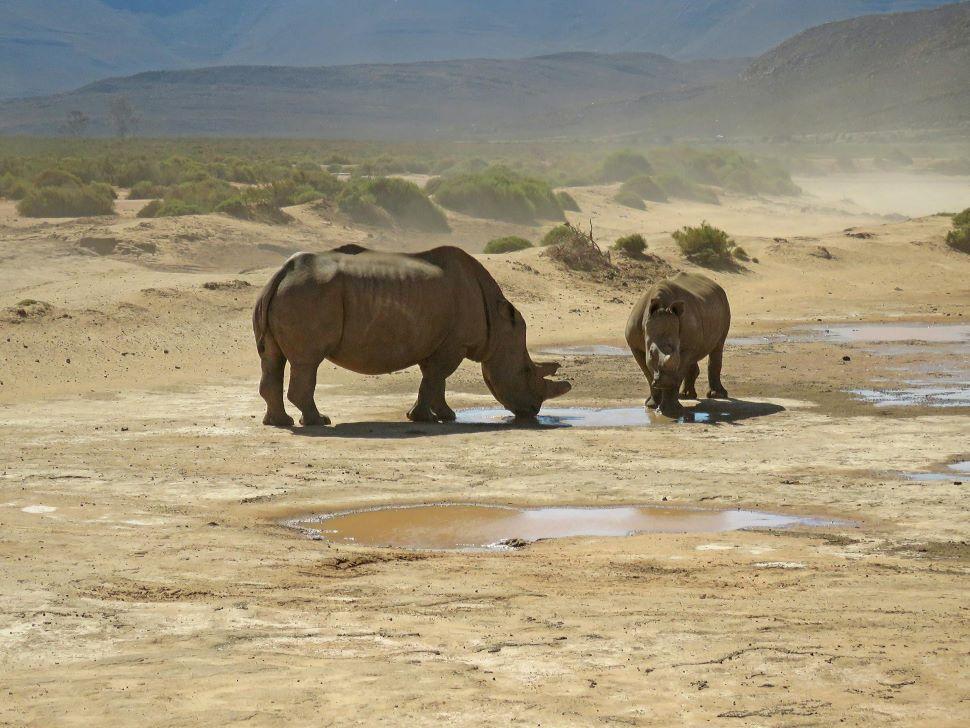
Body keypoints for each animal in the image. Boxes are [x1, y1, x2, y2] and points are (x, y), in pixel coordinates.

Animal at [253, 245, 571, 426]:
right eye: (526, 371)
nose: (532, 411)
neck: (499, 324)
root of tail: (281, 273)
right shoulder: (454, 344)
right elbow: (435, 378)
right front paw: (424, 418)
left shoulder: (437, 340)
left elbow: (435, 380)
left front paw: (445, 416)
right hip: (308, 294)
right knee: (307, 362)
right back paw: (318, 422)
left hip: (289, 293)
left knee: (272, 358)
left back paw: (279, 423)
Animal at [625, 272, 730, 417]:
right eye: (651, 353)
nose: (665, 381)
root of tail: (716, 285)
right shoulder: (634, 345)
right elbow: (648, 373)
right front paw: (651, 405)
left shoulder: (685, 349)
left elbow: (678, 370)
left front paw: (670, 411)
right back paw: (686, 395)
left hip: (724, 304)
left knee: (718, 345)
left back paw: (717, 395)